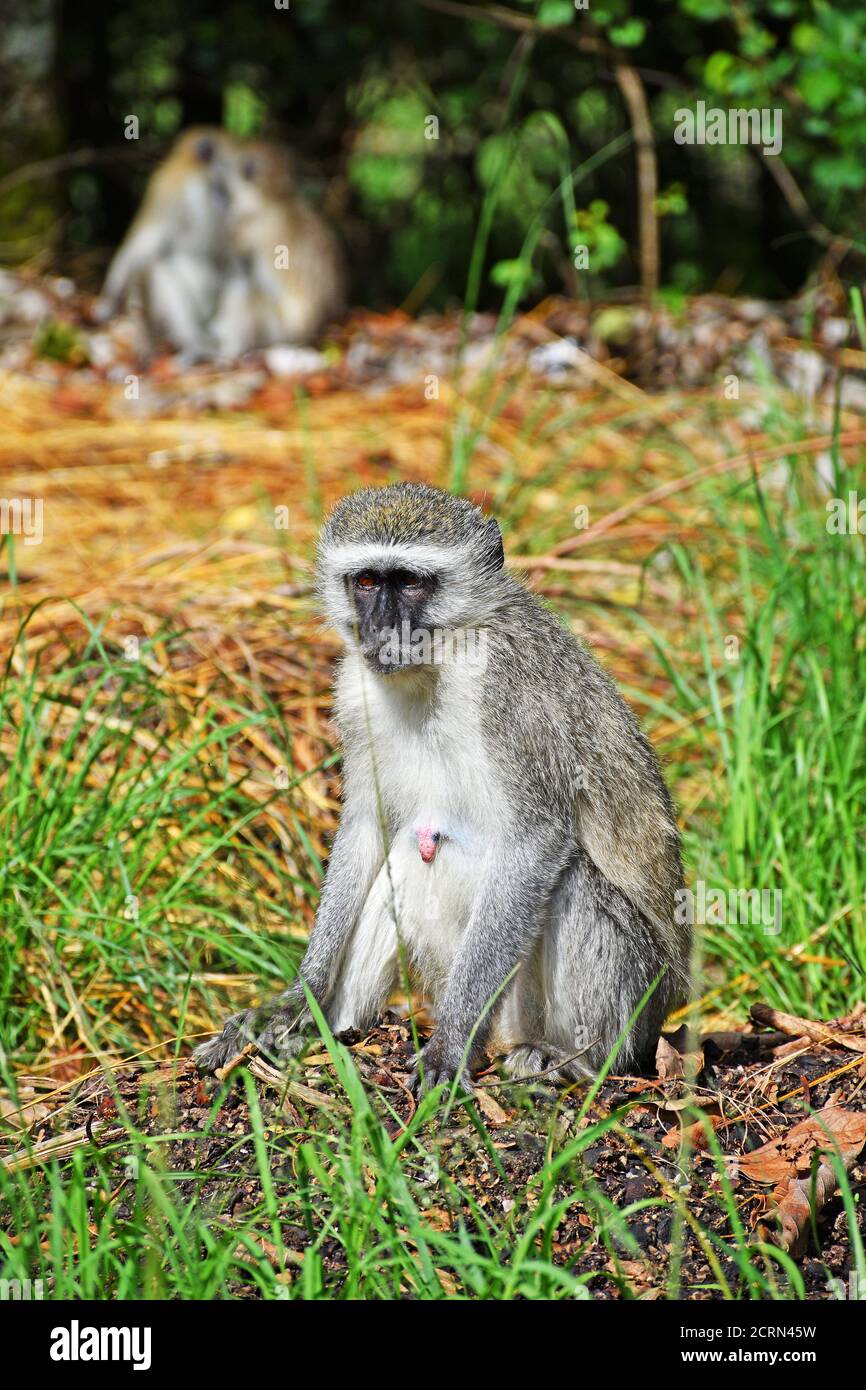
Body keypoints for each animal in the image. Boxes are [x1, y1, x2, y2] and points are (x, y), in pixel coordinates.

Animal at [195, 486, 692, 1084]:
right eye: (367, 582)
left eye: (410, 582)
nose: (383, 629)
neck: (443, 658)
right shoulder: (355, 688)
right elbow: (366, 826)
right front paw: (298, 999)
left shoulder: (509, 684)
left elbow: (535, 842)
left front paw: (449, 1044)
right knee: (408, 851)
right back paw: (327, 1028)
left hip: (632, 1003)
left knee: (573, 880)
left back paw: (576, 1060)